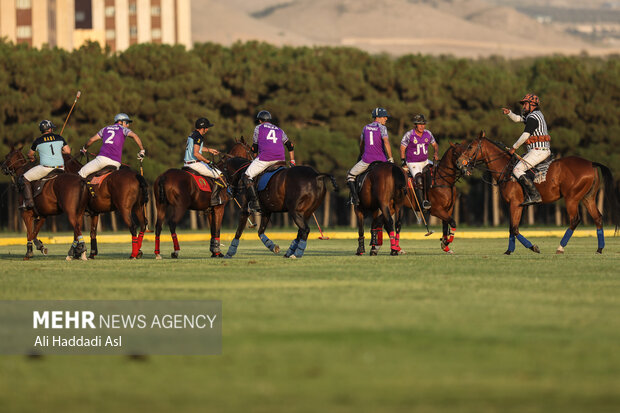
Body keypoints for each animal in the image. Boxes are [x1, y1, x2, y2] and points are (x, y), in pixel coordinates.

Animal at [458, 134, 616, 253]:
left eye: (470, 146)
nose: (459, 162)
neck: (505, 169)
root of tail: (591, 163)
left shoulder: (515, 204)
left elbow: (514, 228)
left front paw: (533, 247)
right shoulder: (518, 205)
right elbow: (512, 228)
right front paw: (509, 251)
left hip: (572, 198)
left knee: (575, 220)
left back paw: (560, 247)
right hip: (588, 197)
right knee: (598, 218)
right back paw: (599, 249)